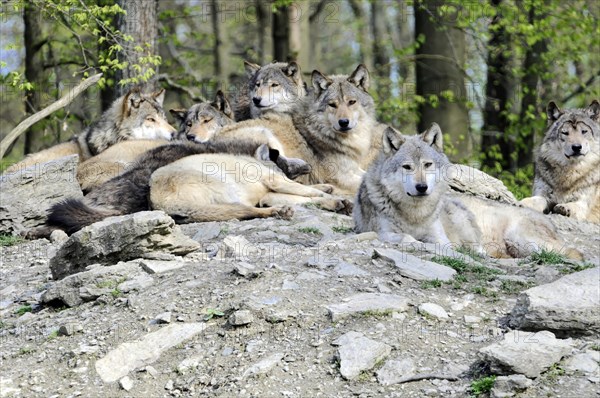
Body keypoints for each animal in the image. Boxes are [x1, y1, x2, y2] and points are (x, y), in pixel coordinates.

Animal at [354, 124, 584, 262]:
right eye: (407, 167)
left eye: (427, 165)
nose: (422, 187)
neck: (415, 214)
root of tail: (549, 222)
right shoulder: (383, 232)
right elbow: (407, 238)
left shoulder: (439, 236)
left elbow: (440, 243)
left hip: (516, 238)